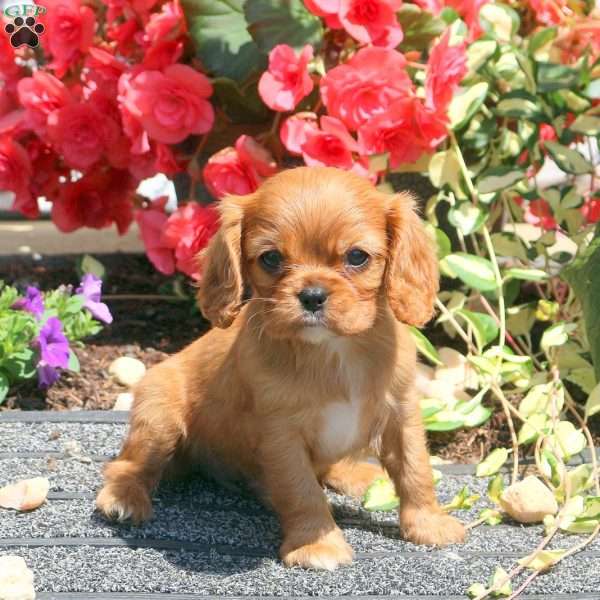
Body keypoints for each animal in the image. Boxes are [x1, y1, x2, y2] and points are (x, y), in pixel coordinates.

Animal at [96, 166, 466, 568]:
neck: (333, 351)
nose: (312, 296)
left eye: (357, 257)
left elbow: (416, 470)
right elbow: (301, 490)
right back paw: (123, 497)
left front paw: (429, 524)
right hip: (160, 419)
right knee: (128, 465)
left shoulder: (402, 414)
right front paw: (316, 544)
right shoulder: (281, 435)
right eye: (271, 258)